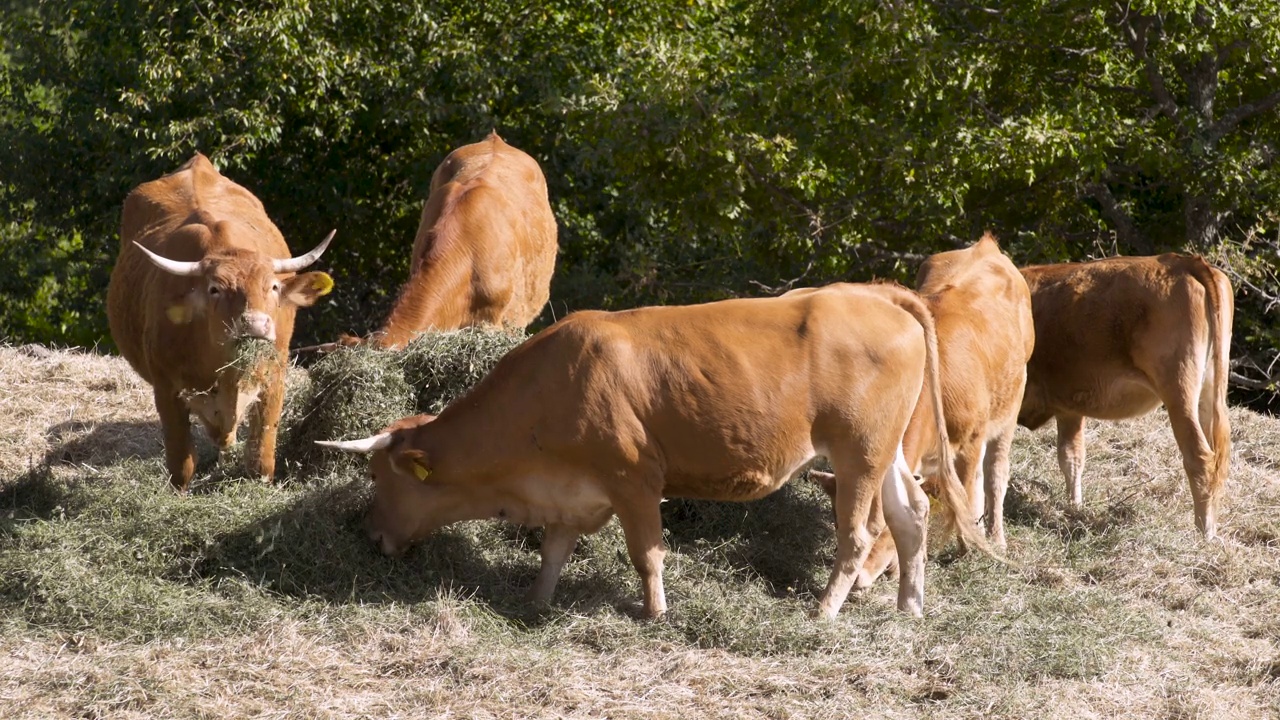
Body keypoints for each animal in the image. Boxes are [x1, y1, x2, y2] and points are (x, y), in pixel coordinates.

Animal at [108, 151, 335, 486]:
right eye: (214, 289)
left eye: (273, 286)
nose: (255, 324)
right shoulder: (166, 390)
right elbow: (182, 465)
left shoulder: (275, 377)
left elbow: (260, 460)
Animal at [317, 283, 988, 614]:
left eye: (381, 478)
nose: (370, 534)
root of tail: (879, 299)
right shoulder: (570, 493)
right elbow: (553, 551)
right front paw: (535, 603)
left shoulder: (633, 479)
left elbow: (647, 555)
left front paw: (656, 614)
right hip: (888, 451)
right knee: (912, 516)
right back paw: (909, 611)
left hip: (858, 454)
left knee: (859, 533)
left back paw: (824, 612)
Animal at [814, 234, 1034, 584]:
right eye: (837, 520)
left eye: (884, 527)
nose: (859, 579)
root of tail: (985, 245)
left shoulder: (971, 441)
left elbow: (966, 495)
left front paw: (966, 549)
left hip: (1011, 403)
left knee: (995, 472)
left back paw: (996, 537)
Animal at [1013, 254, 1233, 535]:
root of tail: (1183, 261)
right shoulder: (1069, 408)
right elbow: (1071, 457)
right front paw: (1075, 507)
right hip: (1210, 392)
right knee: (1218, 457)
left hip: (1179, 392)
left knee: (1199, 457)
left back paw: (1204, 531)